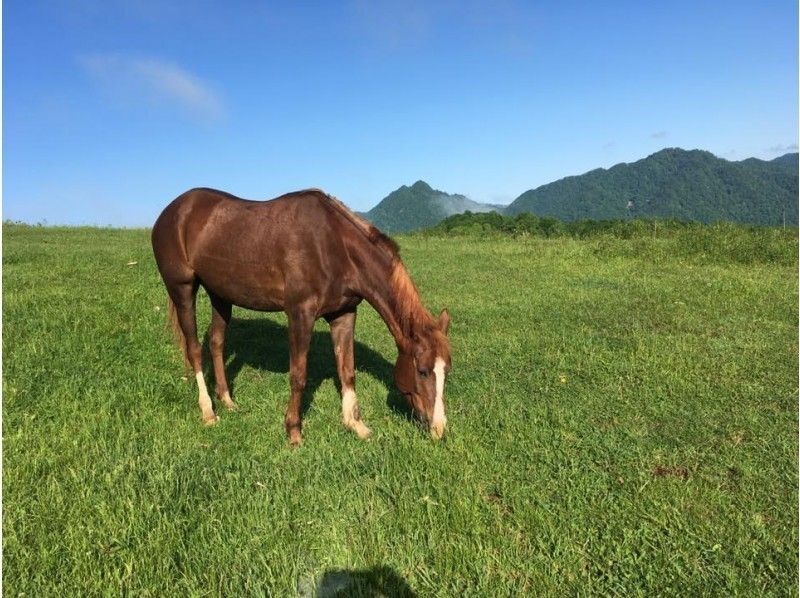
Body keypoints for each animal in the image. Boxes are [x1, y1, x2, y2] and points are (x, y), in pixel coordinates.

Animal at [151, 187, 451, 445]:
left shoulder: (344, 314)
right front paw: (293, 431)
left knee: (216, 342)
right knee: (194, 349)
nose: (439, 428)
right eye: (423, 371)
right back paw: (208, 411)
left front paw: (355, 424)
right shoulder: (299, 314)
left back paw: (227, 400)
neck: (335, 247)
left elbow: (347, 370)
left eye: (446, 370)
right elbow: (298, 375)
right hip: (182, 289)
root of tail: (171, 211)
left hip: (220, 294)